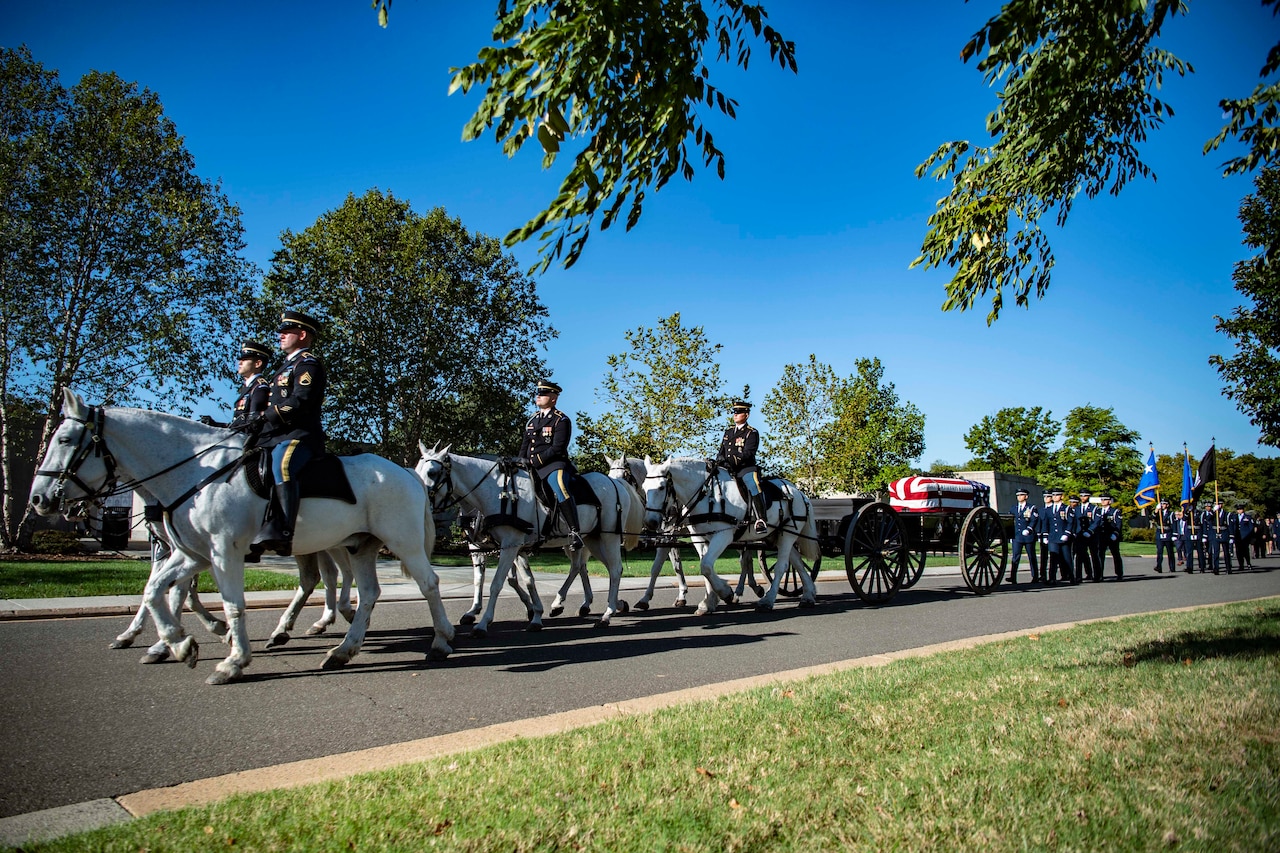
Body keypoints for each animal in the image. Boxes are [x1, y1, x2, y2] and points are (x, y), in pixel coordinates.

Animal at [31, 389, 455, 681]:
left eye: (65, 441)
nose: (39, 498)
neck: (197, 471)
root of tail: (408, 475)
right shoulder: (190, 553)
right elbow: (156, 591)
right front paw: (178, 643)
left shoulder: (223, 550)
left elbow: (229, 603)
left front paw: (232, 658)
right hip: (358, 546)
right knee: (365, 592)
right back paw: (341, 648)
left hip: (401, 543)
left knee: (427, 583)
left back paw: (440, 640)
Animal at [417, 440, 645, 635]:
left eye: (432, 472)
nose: (419, 500)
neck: (499, 493)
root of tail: (615, 483)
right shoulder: (507, 547)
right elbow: (521, 580)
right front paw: (534, 614)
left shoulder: (510, 546)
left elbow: (497, 582)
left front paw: (483, 623)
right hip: (591, 540)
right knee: (592, 567)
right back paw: (601, 604)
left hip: (608, 538)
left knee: (612, 569)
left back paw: (606, 614)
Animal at [606, 455, 691, 607]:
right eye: (609, 476)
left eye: (624, 476)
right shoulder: (669, 537)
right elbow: (677, 565)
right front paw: (682, 595)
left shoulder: (667, 536)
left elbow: (656, 567)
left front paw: (645, 598)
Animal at [640, 455, 819, 614]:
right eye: (644, 487)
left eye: (661, 487)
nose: (650, 522)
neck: (706, 495)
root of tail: (799, 493)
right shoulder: (699, 538)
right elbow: (703, 567)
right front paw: (709, 602)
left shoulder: (723, 536)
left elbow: (705, 566)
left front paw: (725, 592)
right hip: (777, 535)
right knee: (796, 562)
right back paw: (808, 595)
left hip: (788, 534)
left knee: (782, 565)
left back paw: (767, 600)